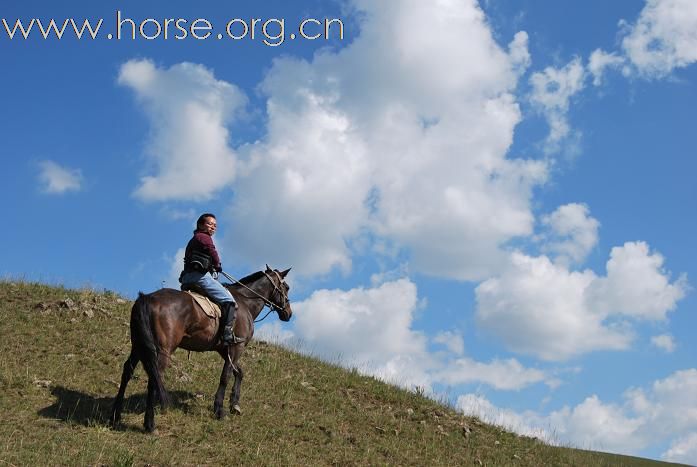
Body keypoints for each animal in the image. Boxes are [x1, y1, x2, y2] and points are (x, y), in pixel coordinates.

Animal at [108, 266, 290, 434]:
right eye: (287, 287)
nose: (288, 313)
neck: (245, 302)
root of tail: (146, 297)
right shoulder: (236, 347)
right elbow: (226, 376)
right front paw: (219, 410)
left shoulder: (224, 349)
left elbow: (239, 372)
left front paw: (235, 404)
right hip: (162, 350)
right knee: (155, 377)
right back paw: (150, 425)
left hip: (139, 346)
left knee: (127, 371)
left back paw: (115, 417)